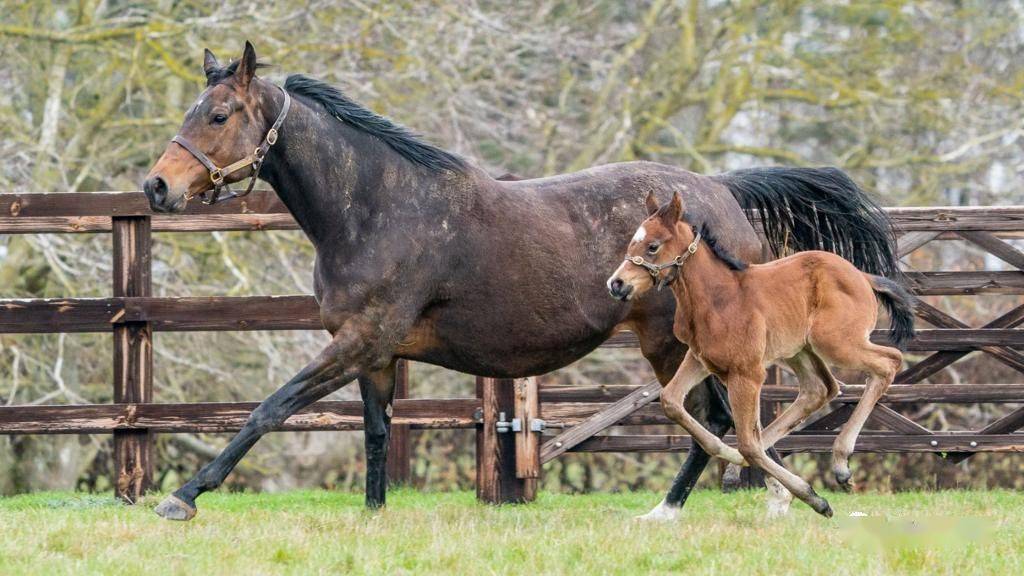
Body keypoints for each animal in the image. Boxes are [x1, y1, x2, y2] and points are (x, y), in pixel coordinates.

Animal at [602, 191, 917, 516]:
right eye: (632, 243)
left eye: (653, 246)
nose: (616, 284)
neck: (717, 298)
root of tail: (863, 277)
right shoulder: (700, 359)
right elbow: (671, 402)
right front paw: (725, 453)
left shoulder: (747, 373)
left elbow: (748, 443)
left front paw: (814, 498)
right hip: (797, 349)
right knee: (820, 389)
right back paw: (740, 466)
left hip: (836, 343)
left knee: (888, 362)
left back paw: (841, 464)